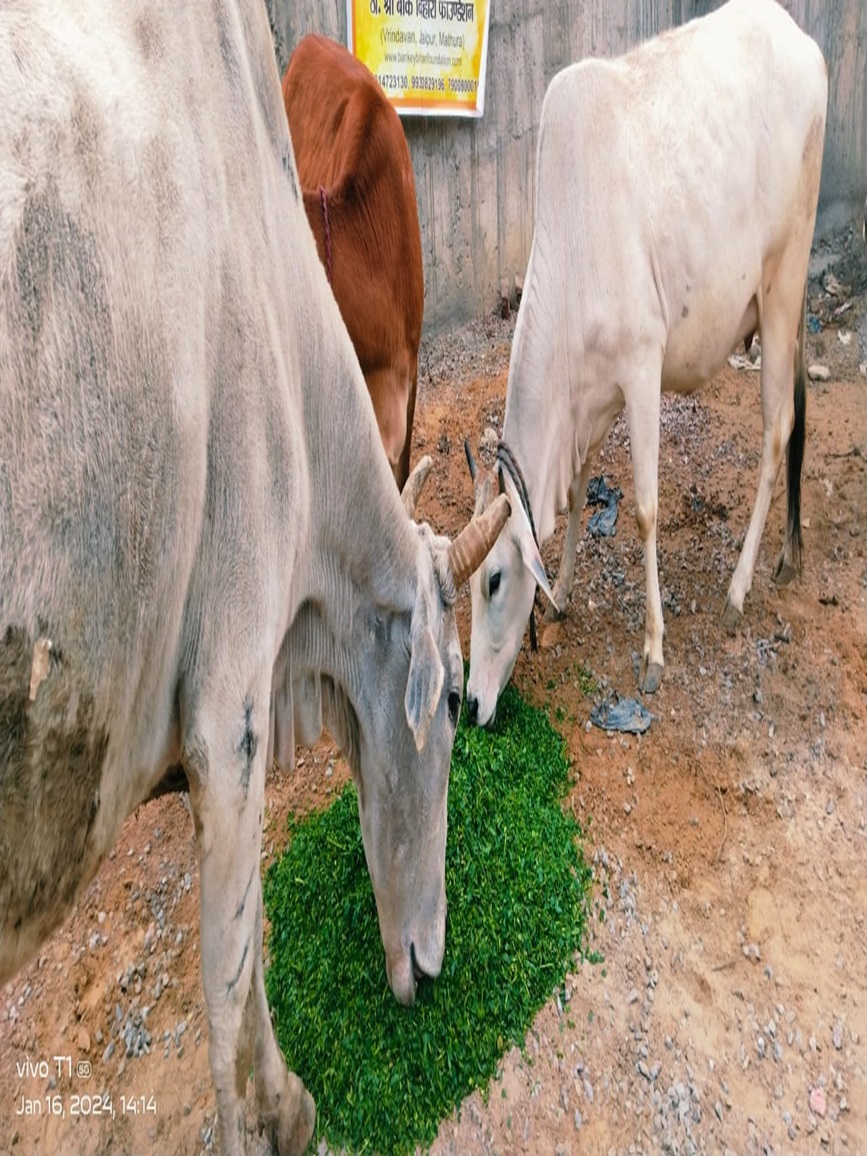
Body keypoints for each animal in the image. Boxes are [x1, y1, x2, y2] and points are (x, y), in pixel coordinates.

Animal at [465, 0, 827, 727]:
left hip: (782, 287)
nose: (470, 704)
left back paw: (738, 590)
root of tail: (799, 39)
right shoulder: (592, 399)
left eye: (493, 580)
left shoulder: (640, 369)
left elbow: (644, 510)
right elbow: (578, 491)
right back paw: (783, 557)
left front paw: (654, 649)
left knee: (776, 432)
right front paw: (562, 592)